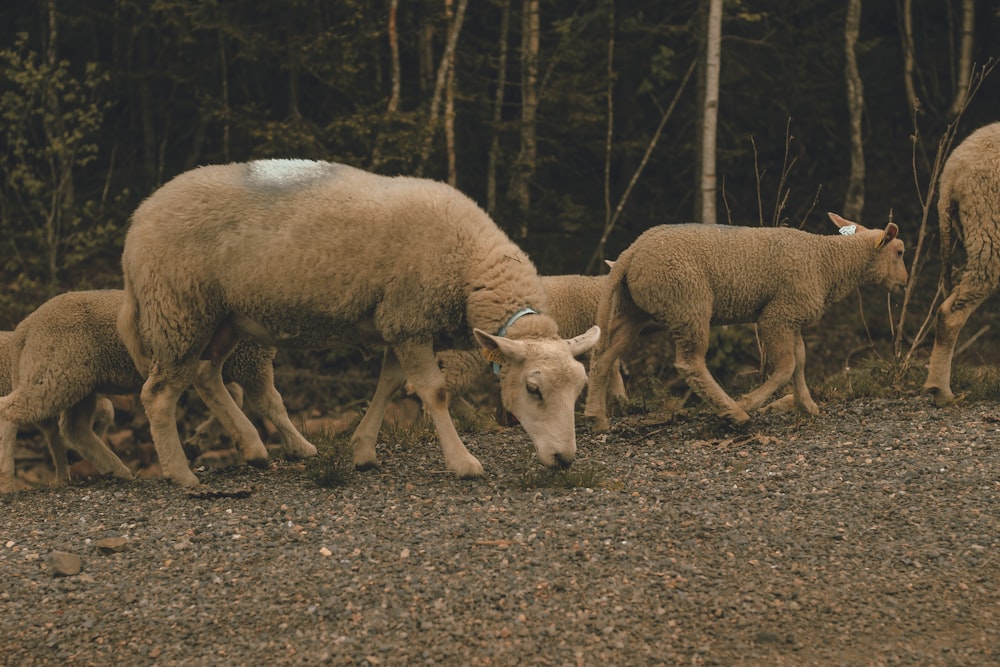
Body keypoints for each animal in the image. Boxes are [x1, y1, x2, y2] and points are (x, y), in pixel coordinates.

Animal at [0, 288, 316, 490]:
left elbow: (234, 398)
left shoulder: (227, 365)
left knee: (74, 428)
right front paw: (301, 446)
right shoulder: (251, 363)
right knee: (9, 411)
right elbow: (273, 405)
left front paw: (199, 440)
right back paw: (6, 478)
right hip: (57, 374)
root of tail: (25, 329)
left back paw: (117, 469)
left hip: (77, 380)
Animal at [117, 159, 600, 488]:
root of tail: (138, 219)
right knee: (159, 395)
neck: (470, 268)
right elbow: (434, 392)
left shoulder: (398, 322)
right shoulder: (411, 317)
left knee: (205, 376)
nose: (564, 460)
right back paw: (181, 474)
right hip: (178, 310)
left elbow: (389, 385)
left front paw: (364, 450)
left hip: (222, 318)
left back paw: (259, 448)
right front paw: (463, 463)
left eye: (580, 388)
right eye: (533, 389)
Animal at [584, 215, 912, 434]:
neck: (827, 263)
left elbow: (800, 362)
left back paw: (596, 418)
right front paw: (749, 402)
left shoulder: (791, 315)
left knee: (604, 357)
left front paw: (807, 405)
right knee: (690, 363)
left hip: (634, 309)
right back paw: (733, 412)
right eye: (899, 252)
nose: (905, 284)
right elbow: (786, 367)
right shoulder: (778, 315)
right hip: (687, 302)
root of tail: (630, 253)